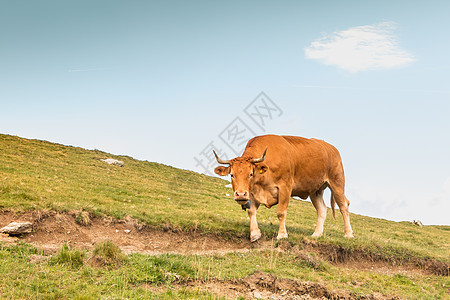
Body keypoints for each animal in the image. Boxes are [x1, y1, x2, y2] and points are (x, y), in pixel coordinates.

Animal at [213, 135, 354, 243]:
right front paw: (254, 234)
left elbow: (281, 212)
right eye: (232, 174)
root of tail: (330, 148)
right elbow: (251, 211)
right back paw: (316, 234)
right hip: (315, 190)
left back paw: (348, 234)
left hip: (337, 182)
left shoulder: (285, 187)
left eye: (251, 174)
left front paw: (282, 235)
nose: (241, 194)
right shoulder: (252, 192)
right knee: (322, 209)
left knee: (343, 205)